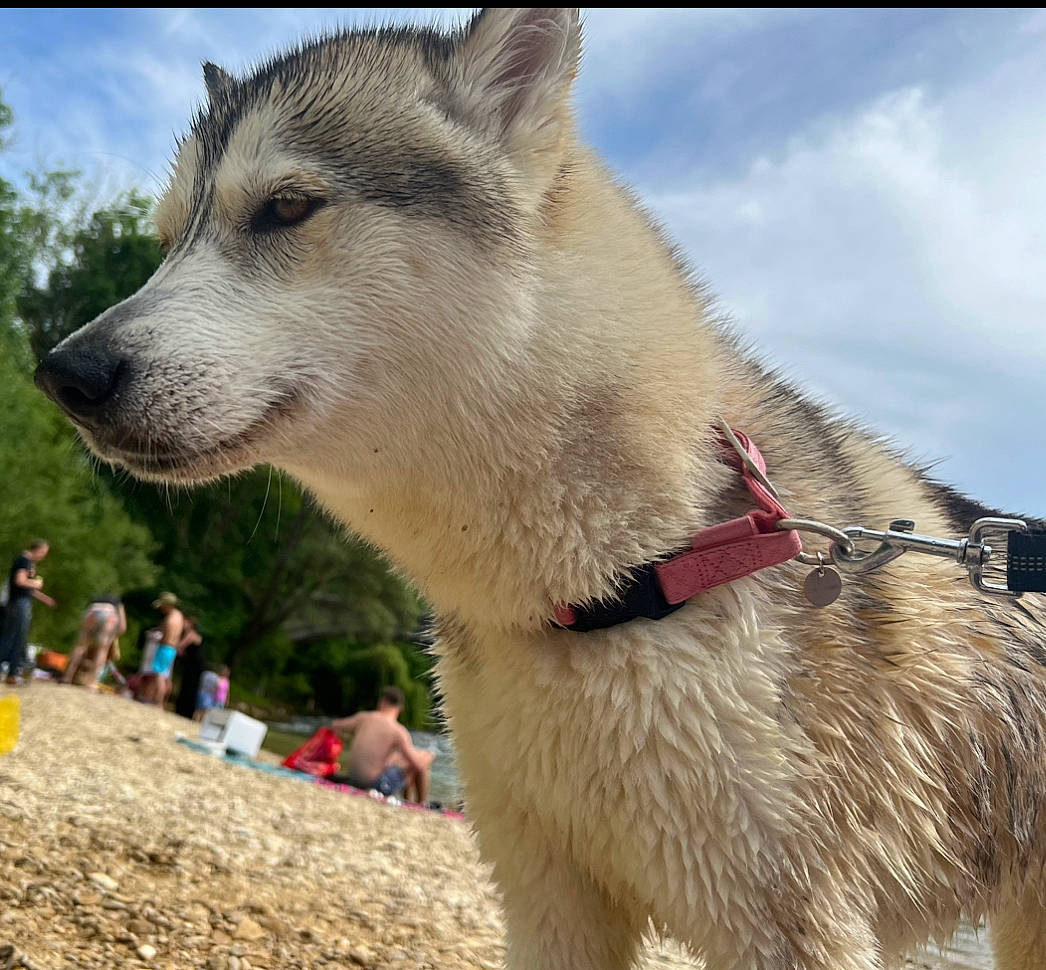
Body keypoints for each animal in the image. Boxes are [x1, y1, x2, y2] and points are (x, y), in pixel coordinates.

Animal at [34, 8, 1046, 970]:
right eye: (168, 242)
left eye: (287, 207)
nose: (64, 374)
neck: (629, 580)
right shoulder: (545, 896)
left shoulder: (792, 925)